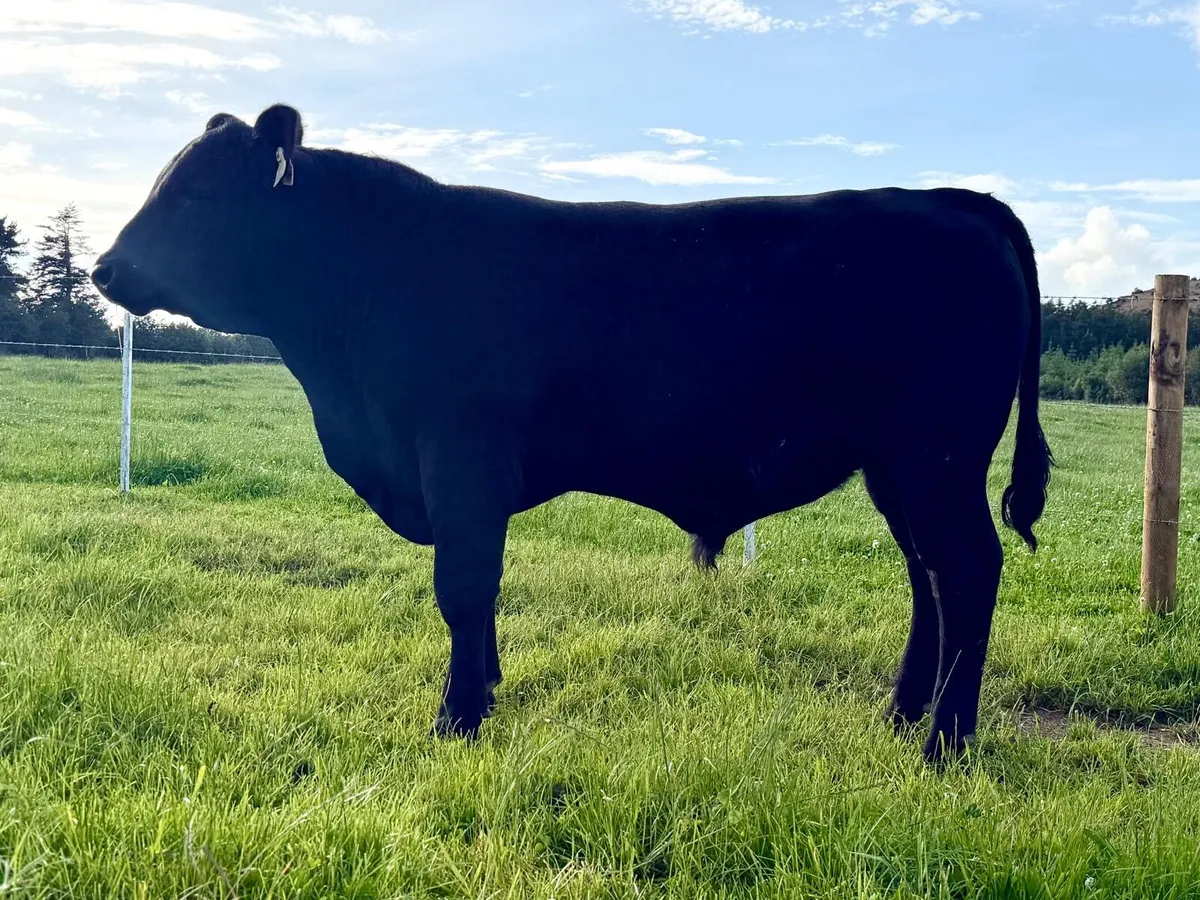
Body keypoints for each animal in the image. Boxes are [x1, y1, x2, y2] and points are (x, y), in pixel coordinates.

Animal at [90, 103, 1052, 764]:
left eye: (200, 193)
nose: (106, 268)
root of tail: (949, 199)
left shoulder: (460, 457)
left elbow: (464, 587)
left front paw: (457, 719)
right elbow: (479, 595)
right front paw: (487, 688)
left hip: (935, 457)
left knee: (967, 572)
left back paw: (943, 746)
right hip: (899, 467)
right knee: (928, 580)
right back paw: (900, 716)